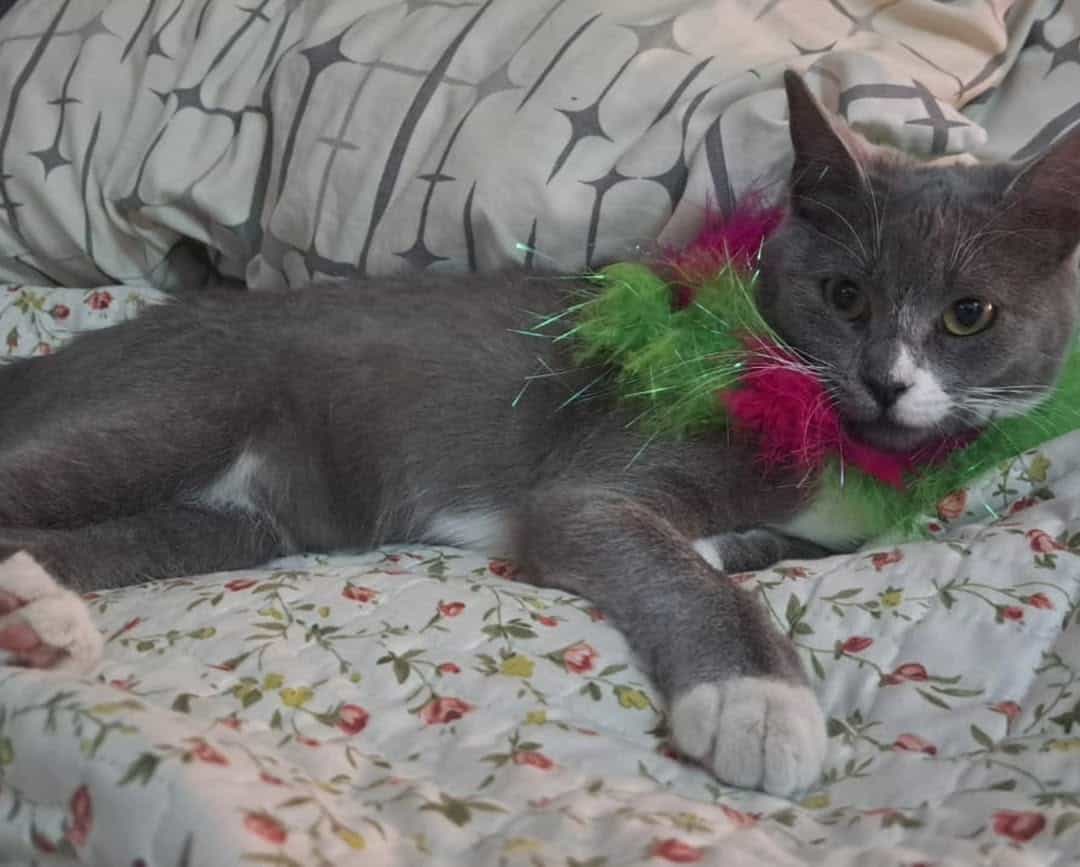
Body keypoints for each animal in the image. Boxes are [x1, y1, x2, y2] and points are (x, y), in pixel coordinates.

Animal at [2, 74, 1080, 798]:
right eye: (845, 294)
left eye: (969, 316)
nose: (887, 381)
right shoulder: (599, 476)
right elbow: (668, 560)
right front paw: (759, 704)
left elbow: (737, 549)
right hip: (179, 405)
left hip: (232, 521)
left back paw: (36, 618)